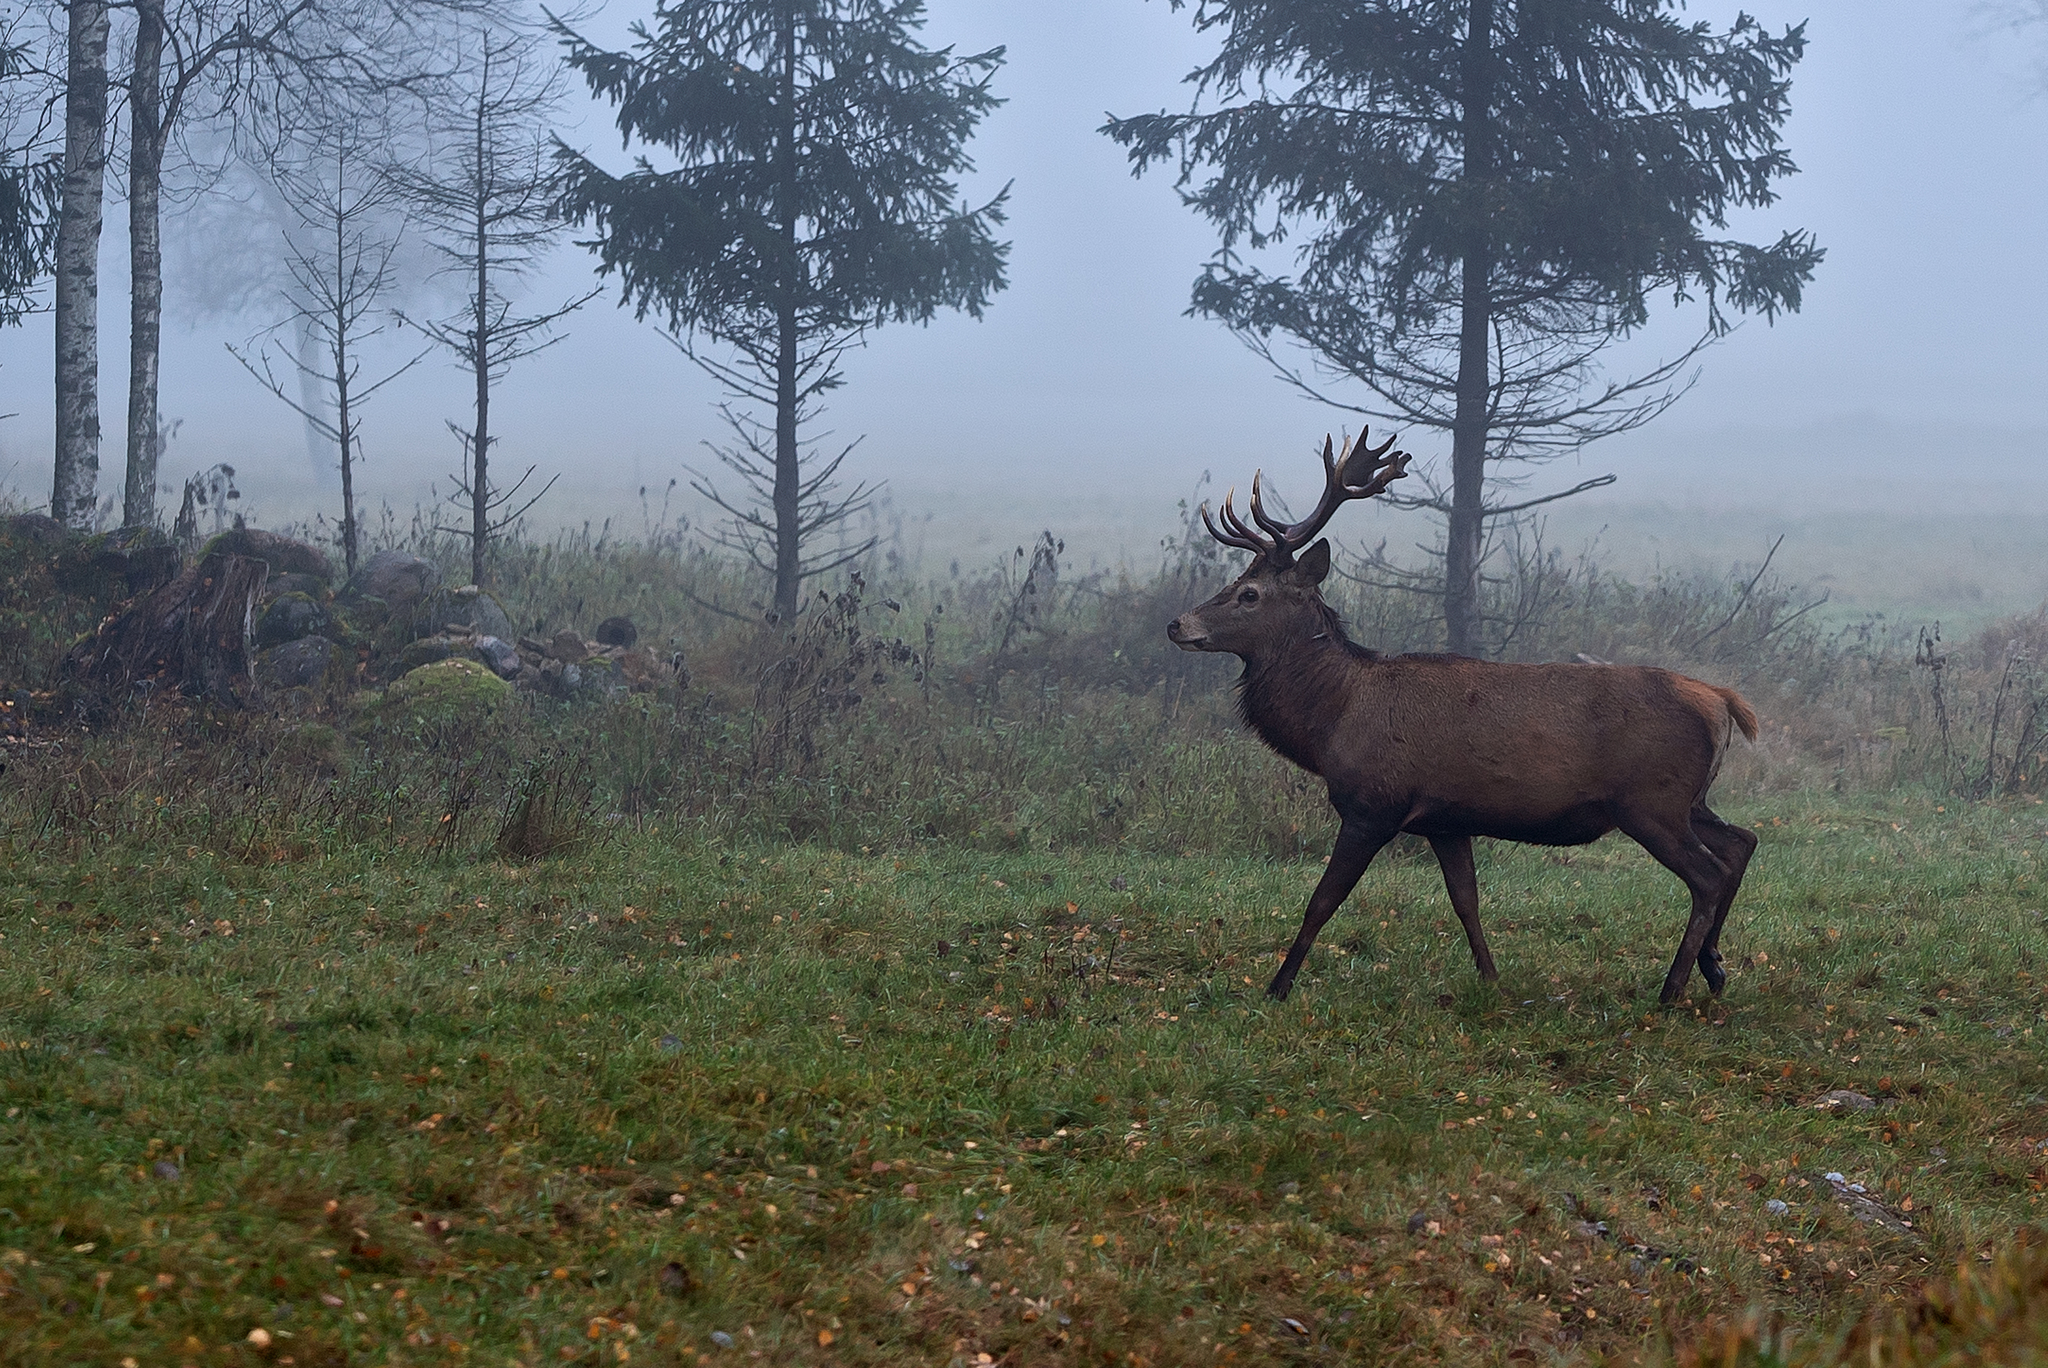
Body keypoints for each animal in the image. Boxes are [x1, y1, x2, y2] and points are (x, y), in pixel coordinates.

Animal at [1171, 436, 1761, 1003]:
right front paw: (1492, 979)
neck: (1333, 718)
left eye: (1249, 594)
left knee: (1709, 874)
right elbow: (1466, 901)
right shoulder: (1445, 820)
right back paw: (1714, 967)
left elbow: (1322, 900)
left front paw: (1278, 987)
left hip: (1651, 801)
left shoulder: (1374, 804)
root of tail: (1722, 701)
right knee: (1741, 842)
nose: (1178, 624)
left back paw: (1673, 988)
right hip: (1687, 799)